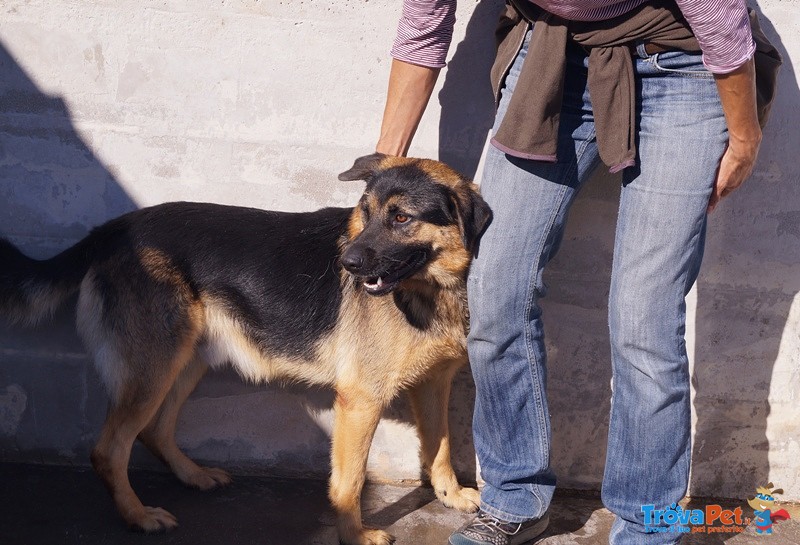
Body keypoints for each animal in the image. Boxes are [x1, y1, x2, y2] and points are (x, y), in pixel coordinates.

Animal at [0, 153, 490, 544]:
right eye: (364, 215)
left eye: (402, 218)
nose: (346, 264)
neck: (430, 286)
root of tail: (113, 229)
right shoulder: (360, 401)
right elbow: (349, 482)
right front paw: (353, 534)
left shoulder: (434, 386)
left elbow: (441, 448)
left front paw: (449, 496)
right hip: (155, 369)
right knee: (110, 450)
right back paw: (138, 516)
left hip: (185, 362)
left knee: (154, 430)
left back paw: (194, 476)